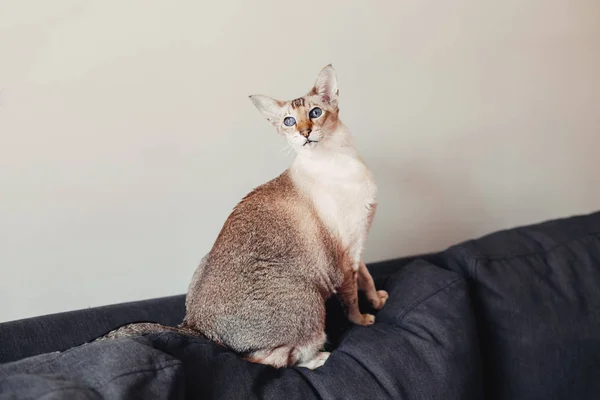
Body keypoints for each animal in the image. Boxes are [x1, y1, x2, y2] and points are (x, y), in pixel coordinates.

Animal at [99, 65, 390, 368]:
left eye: (315, 113)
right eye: (289, 121)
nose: (305, 132)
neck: (341, 158)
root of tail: (195, 326)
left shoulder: (356, 246)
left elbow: (366, 278)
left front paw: (377, 301)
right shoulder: (344, 258)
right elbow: (351, 299)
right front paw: (364, 319)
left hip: (206, 262)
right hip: (309, 300)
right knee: (271, 359)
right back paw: (319, 357)